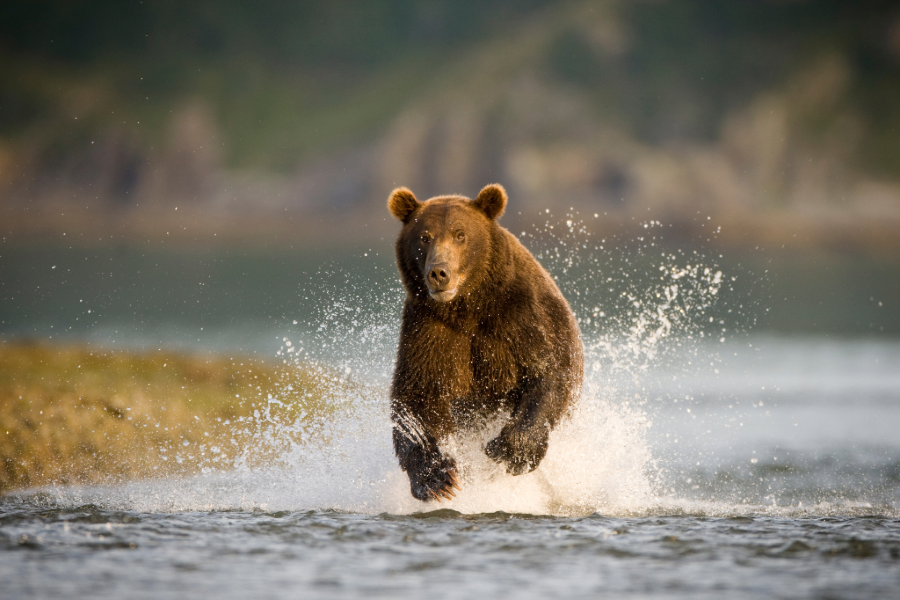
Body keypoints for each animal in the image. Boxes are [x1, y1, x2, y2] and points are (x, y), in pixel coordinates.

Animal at [387, 183, 584, 502]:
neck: (468, 306)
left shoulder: (521, 316)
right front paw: (437, 479)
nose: (439, 273)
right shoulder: (428, 331)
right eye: (424, 237)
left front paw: (510, 449)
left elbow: (548, 371)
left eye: (460, 234)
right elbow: (417, 396)